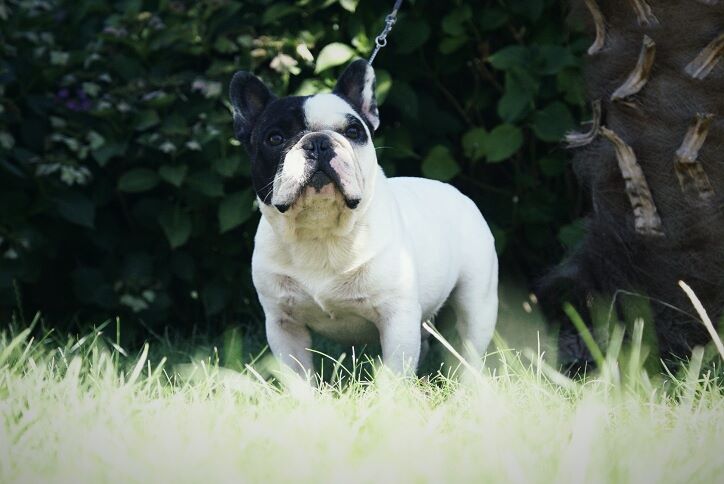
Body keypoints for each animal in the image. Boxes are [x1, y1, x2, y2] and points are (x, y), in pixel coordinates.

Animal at [229, 59, 498, 376]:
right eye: (275, 138)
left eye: (354, 131)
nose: (318, 142)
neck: (320, 231)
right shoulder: (283, 323)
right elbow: (297, 373)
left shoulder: (397, 317)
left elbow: (395, 371)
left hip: (476, 302)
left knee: (469, 346)